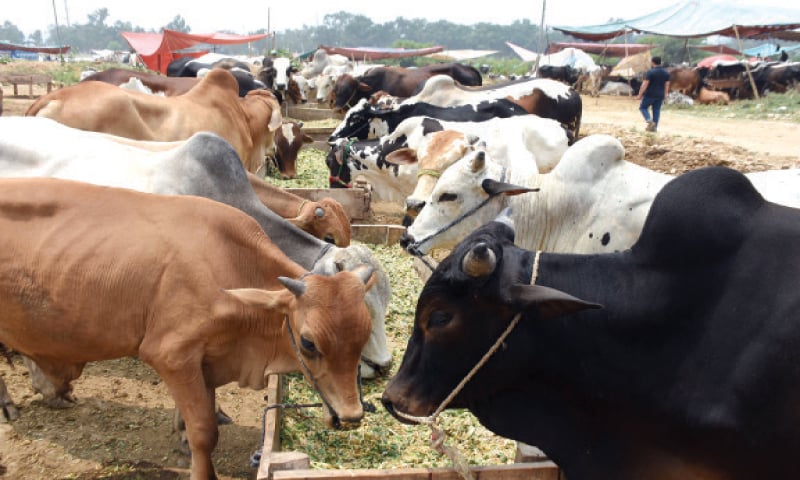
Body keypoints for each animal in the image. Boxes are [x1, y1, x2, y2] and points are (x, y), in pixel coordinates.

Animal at [0, 177, 378, 480]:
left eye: (363, 335)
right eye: (308, 343)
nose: (351, 415)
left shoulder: (205, 361)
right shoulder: (171, 355)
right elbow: (204, 432)